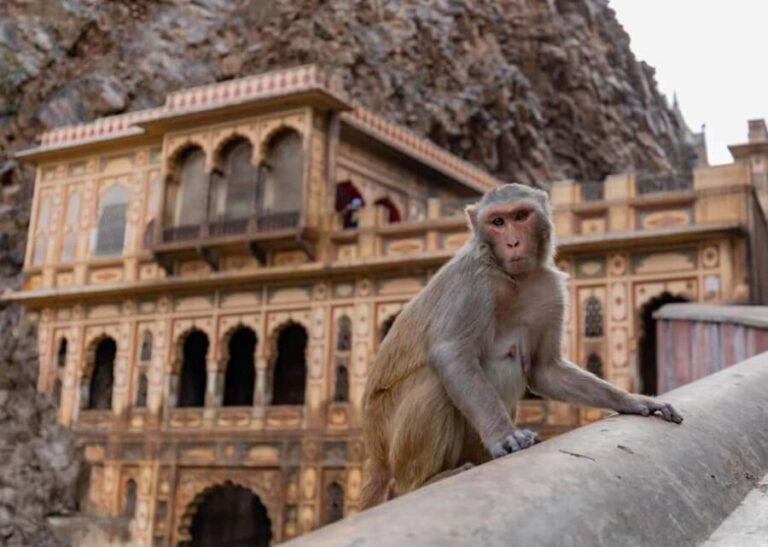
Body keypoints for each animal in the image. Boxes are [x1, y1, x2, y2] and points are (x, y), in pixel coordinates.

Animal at [360, 183, 682, 509]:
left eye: (520, 216)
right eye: (497, 222)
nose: (513, 242)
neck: (512, 278)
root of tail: (375, 451)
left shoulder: (549, 289)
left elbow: (544, 369)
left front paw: (634, 401)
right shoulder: (472, 280)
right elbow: (451, 353)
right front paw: (505, 436)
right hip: (388, 434)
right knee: (433, 380)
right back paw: (423, 481)